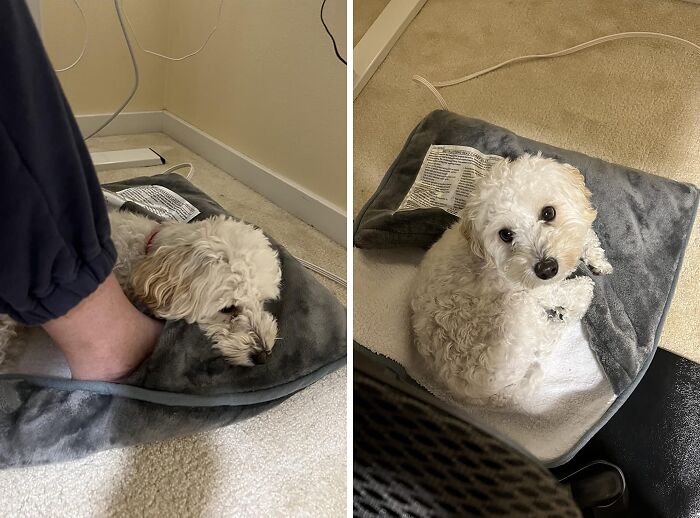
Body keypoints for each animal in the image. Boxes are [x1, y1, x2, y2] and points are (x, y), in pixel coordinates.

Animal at [410, 154, 612, 406]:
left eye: (549, 213)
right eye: (505, 234)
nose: (546, 269)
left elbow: (587, 237)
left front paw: (599, 261)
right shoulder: (537, 289)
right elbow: (568, 291)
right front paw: (583, 287)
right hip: (519, 314)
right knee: (548, 339)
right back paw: (565, 314)